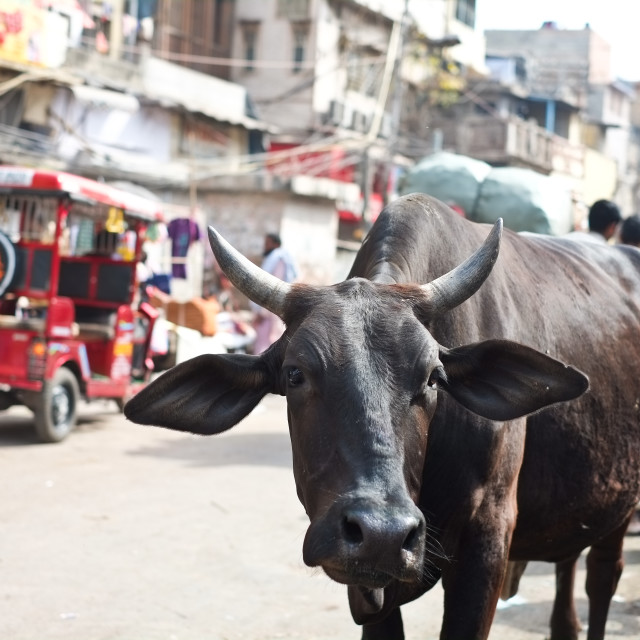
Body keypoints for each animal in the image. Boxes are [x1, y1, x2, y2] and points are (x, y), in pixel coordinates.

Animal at [125, 195, 640, 640]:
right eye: (294, 374)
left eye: (433, 377)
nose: (383, 533)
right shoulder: (365, 581)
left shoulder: (488, 540)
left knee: (602, 579)